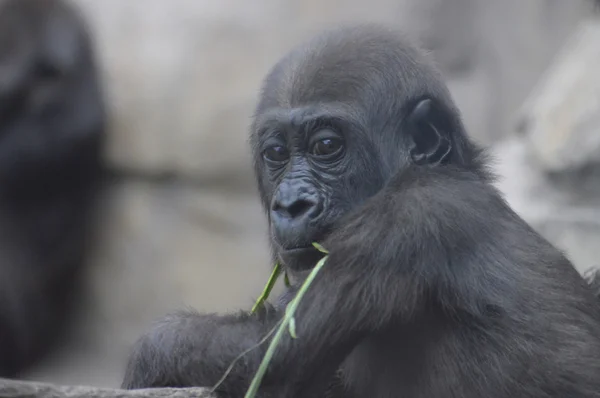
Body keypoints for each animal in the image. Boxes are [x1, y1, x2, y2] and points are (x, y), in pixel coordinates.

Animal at [120, 24, 600, 398]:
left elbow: (275, 356)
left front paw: (150, 354)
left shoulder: (410, 217)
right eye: (276, 153)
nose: (291, 204)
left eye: (326, 146)